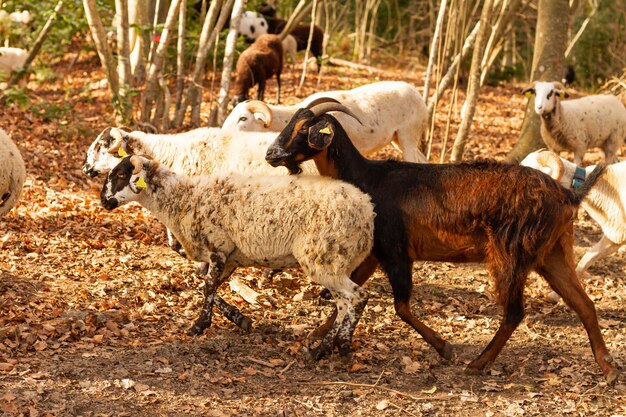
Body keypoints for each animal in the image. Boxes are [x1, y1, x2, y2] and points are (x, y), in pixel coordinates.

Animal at [100, 154, 372, 356]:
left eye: (121, 175)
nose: (103, 201)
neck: (182, 198)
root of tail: (367, 212)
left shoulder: (218, 247)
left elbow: (208, 287)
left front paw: (199, 325)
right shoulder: (230, 257)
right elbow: (209, 287)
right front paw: (239, 319)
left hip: (324, 259)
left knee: (357, 298)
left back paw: (338, 345)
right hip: (337, 262)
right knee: (344, 303)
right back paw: (328, 346)